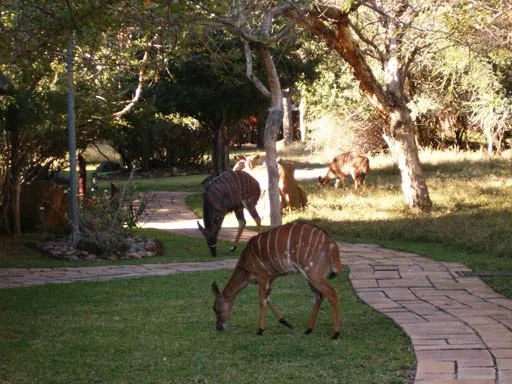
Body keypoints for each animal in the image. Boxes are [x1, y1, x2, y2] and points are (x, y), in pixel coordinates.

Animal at [210, 222, 342, 340]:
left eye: (215, 308)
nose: (219, 328)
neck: (245, 266)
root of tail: (331, 243)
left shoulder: (263, 276)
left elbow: (262, 301)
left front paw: (260, 330)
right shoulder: (271, 277)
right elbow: (268, 298)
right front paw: (286, 322)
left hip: (313, 272)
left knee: (332, 293)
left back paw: (336, 333)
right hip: (310, 275)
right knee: (319, 296)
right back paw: (308, 329)